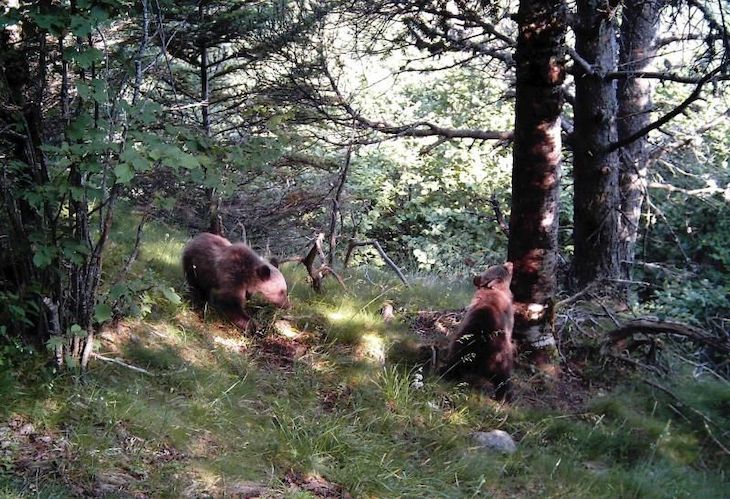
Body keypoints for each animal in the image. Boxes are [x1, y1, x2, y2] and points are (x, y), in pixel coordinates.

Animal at [440, 262, 515, 402]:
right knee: (503, 376)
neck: (494, 289)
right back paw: (505, 395)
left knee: (454, 364)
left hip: (460, 346)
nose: (510, 263)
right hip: (500, 354)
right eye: (503, 267)